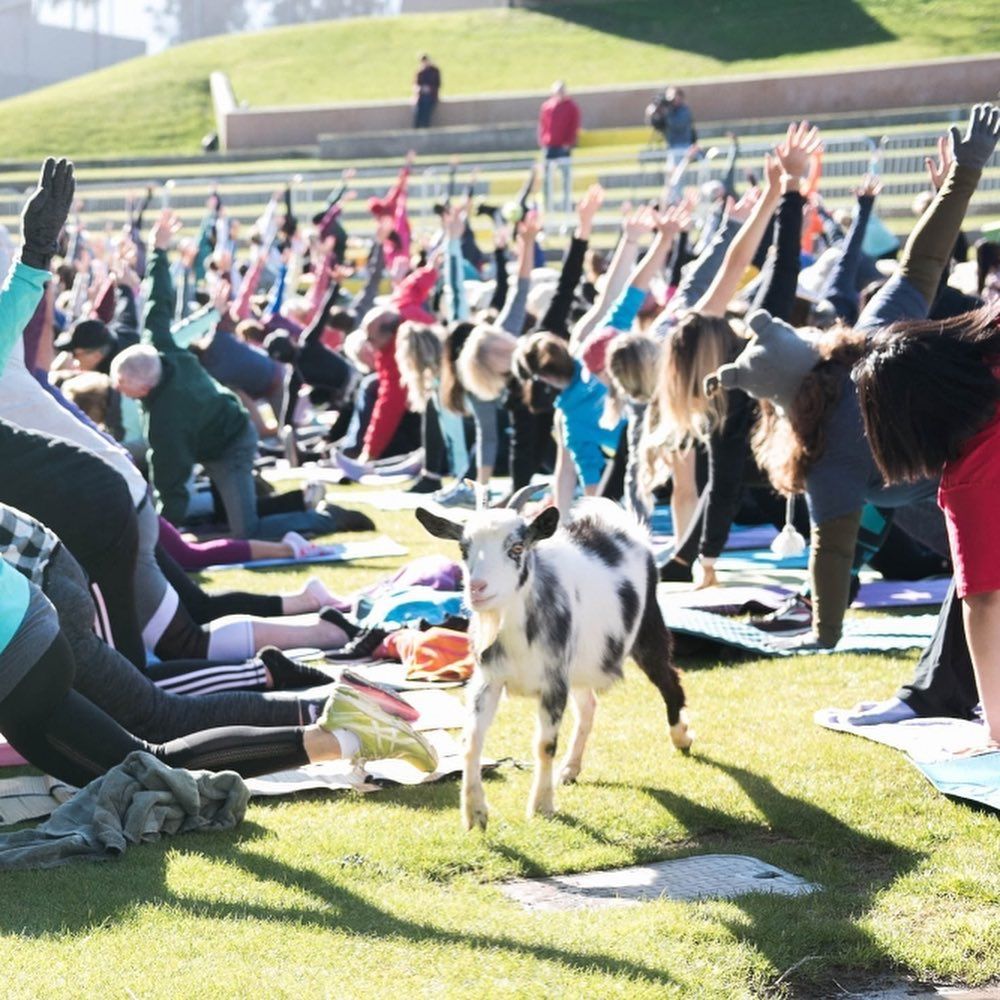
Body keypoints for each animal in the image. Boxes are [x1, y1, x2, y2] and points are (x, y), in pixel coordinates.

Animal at [418, 490, 692, 828]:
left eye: (517, 548)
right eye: (463, 548)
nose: (477, 589)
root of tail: (621, 525)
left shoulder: (554, 682)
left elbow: (545, 745)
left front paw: (542, 805)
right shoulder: (489, 680)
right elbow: (471, 741)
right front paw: (475, 812)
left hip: (647, 630)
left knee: (669, 680)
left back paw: (681, 737)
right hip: (582, 663)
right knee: (588, 707)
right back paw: (571, 768)